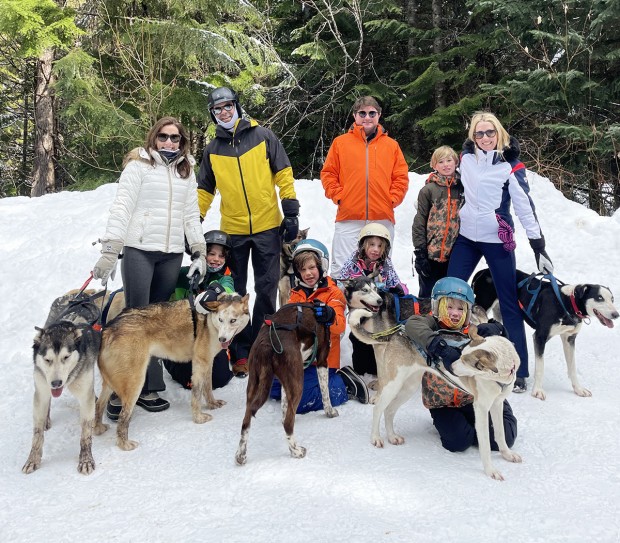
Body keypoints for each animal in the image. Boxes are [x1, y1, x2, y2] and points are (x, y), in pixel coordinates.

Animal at [22, 294, 103, 476]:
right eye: (47, 359)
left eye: (66, 357)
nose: (56, 382)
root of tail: (79, 295)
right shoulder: (42, 390)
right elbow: (37, 434)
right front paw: (33, 459)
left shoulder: (85, 396)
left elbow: (85, 433)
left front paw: (86, 460)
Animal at [94, 294, 249, 450]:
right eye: (221, 320)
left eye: (233, 320)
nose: (222, 339)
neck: (209, 321)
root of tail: (107, 330)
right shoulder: (200, 363)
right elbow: (197, 395)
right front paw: (199, 418)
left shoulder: (208, 362)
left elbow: (208, 387)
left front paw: (212, 404)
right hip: (135, 384)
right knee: (122, 417)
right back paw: (124, 444)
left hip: (110, 385)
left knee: (99, 405)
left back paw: (99, 428)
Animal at [235, 304, 336, 466]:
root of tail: (267, 343)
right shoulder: (322, 360)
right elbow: (325, 391)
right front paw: (330, 412)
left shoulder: (285, 380)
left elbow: (284, 405)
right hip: (298, 382)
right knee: (288, 423)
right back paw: (296, 451)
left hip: (254, 385)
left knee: (246, 421)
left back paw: (241, 455)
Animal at [472, 268, 616, 400]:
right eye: (599, 298)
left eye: (612, 299)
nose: (616, 314)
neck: (566, 303)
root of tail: (483, 271)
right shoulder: (540, 337)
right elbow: (540, 368)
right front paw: (537, 391)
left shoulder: (569, 339)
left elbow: (572, 368)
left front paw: (578, 389)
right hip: (482, 307)